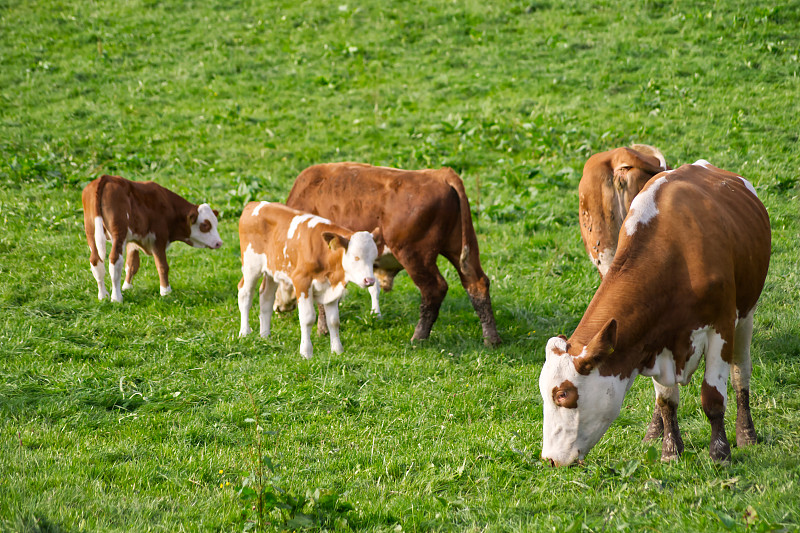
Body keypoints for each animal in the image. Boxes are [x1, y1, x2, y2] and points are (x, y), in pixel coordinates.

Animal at [81, 172, 223, 302]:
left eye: (216, 223)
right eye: (205, 225)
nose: (219, 243)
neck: (167, 206)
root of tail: (106, 177)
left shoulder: (132, 240)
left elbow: (132, 264)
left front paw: (127, 287)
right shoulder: (158, 238)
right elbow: (162, 266)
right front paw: (166, 291)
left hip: (91, 231)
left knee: (95, 260)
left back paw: (103, 295)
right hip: (118, 232)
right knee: (115, 260)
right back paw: (116, 298)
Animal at [236, 202, 380, 360]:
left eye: (374, 258)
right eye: (356, 257)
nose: (369, 280)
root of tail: (255, 204)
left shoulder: (330, 289)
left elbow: (334, 321)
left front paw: (337, 351)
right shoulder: (301, 281)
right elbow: (308, 318)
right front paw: (306, 352)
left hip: (272, 270)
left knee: (266, 298)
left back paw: (265, 336)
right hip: (251, 266)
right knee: (245, 294)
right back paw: (244, 332)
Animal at [282, 161, 500, 344]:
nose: (279, 310)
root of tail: (442, 174)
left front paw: (322, 330)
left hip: (415, 255)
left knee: (434, 289)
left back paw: (418, 337)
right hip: (460, 248)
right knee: (476, 283)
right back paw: (491, 339)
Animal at [540, 161, 772, 466]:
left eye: (563, 394)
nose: (549, 458)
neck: (675, 254)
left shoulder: (721, 327)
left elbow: (713, 397)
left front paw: (720, 453)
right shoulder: (651, 341)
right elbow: (666, 401)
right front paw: (670, 451)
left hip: (746, 317)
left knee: (740, 374)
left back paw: (746, 433)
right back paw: (654, 433)